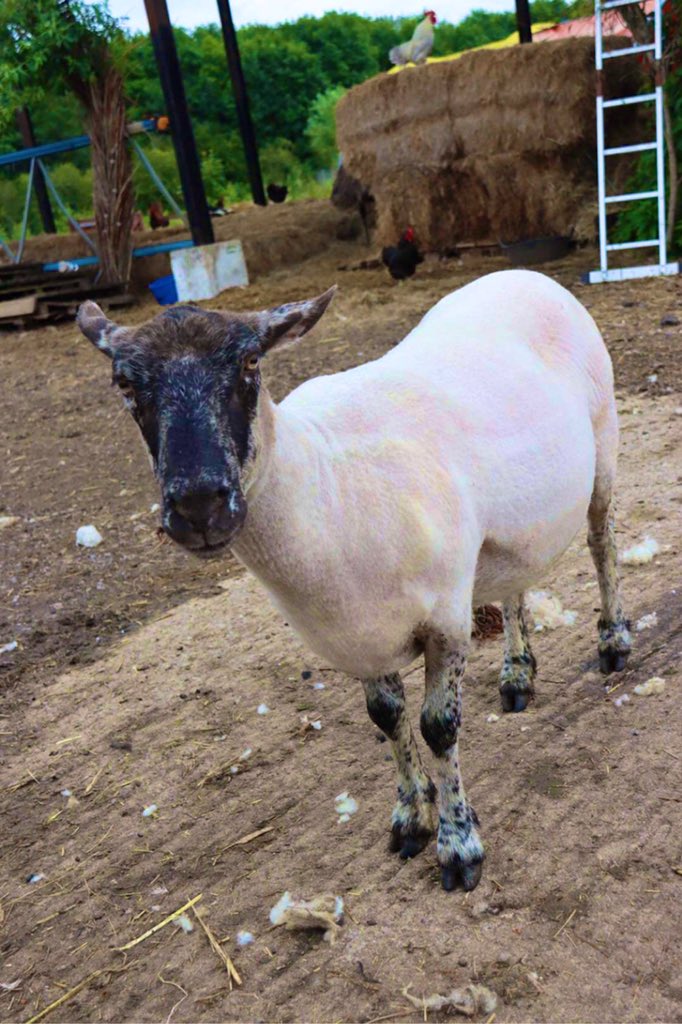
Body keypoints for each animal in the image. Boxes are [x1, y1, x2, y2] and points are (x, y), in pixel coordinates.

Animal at [76, 269, 632, 892]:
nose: (199, 505)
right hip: (512, 521)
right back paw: (517, 674)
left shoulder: (445, 619)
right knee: (516, 579)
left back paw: (614, 642)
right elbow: (386, 719)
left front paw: (459, 846)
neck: (327, 487)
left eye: (250, 362)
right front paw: (412, 818)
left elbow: (438, 727)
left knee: (602, 543)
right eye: (124, 381)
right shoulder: (355, 631)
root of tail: (522, 274)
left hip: (604, 441)